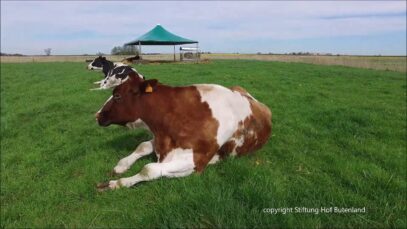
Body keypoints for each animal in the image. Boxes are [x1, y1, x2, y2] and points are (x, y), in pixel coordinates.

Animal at [95, 72, 272, 191]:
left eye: (117, 96)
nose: (97, 115)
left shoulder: (197, 161)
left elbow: (149, 168)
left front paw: (116, 183)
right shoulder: (161, 140)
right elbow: (142, 146)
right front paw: (121, 165)